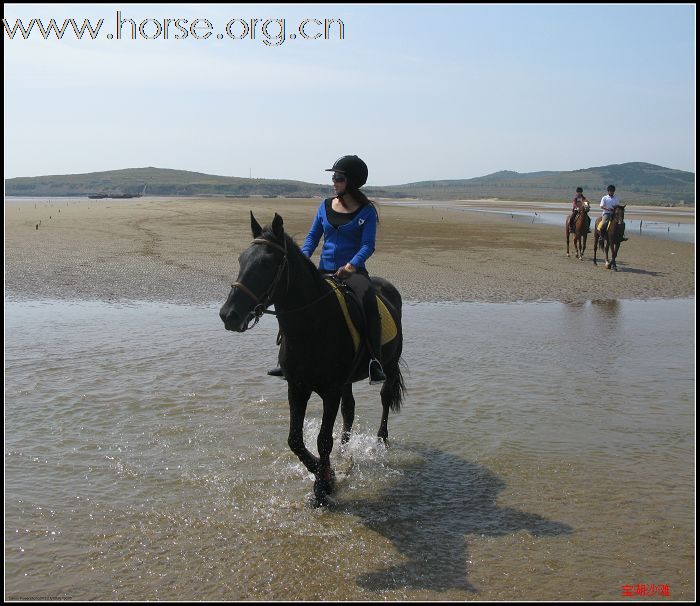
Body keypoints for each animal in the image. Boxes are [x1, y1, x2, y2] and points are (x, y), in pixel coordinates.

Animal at [219, 214, 404, 508]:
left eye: (267, 263)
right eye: (240, 259)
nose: (229, 315)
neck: (313, 325)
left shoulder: (330, 391)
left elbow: (322, 440)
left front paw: (322, 489)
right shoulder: (297, 387)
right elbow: (295, 440)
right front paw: (326, 474)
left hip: (389, 364)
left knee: (385, 398)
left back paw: (380, 442)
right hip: (347, 382)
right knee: (349, 411)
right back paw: (345, 452)